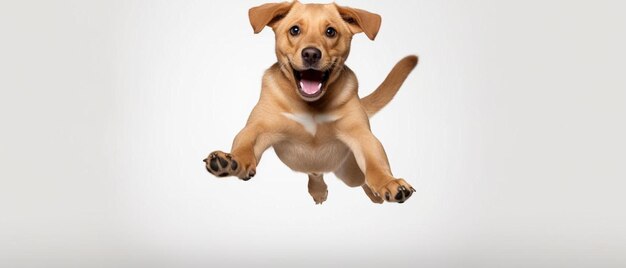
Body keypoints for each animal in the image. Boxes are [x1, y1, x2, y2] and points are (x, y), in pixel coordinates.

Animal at [202, 1, 416, 204]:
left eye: (330, 31)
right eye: (295, 30)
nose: (311, 54)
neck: (311, 106)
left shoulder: (361, 135)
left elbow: (376, 163)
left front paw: (388, 182)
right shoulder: (258, 128)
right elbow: (244, 144)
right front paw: (232, 160)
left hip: (350, 172)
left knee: (360, 179)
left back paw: (373, 195)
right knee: (315, 173)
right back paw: (318, 190)